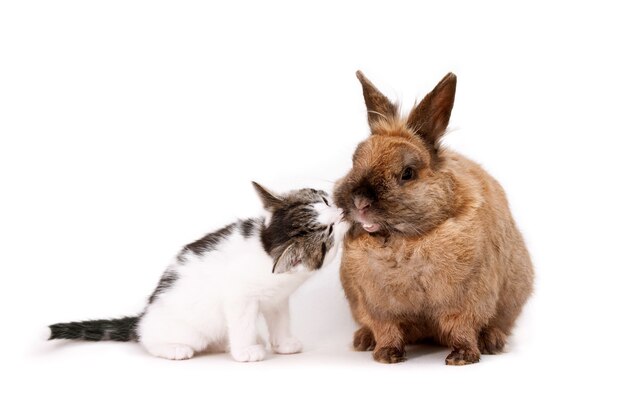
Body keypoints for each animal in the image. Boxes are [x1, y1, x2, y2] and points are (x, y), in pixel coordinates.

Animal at [47, 182, 346, 360]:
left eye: (325, 201)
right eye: (329, 231)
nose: (342, 212)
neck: (266, 247)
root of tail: (144, 316)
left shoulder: (277, 299)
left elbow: (280, 320)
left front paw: (283, 344)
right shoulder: (239, 299)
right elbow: (242, 323)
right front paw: (245, 351)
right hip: (181, 330)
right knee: (149, 340)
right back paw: (174, 348)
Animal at [332, 71, 532, 364]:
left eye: (407, 173)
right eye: (354, 162)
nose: (360, 202)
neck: (403, 242)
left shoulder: (466, 301)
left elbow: (462, 328)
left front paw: (462, 358)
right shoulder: (378, 306)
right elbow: (387, 330)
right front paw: (386, 356)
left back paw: (492, 341)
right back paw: (363, 340)